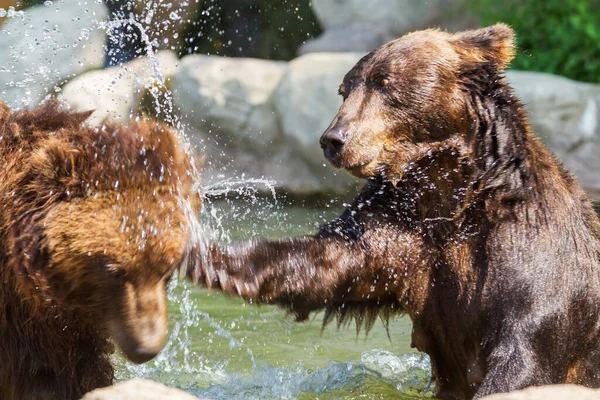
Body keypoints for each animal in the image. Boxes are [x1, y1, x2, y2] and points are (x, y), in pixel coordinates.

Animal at [188, 25, 600, 400]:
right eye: (346, 88)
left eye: (383, 82)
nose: (333, 139)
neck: (450, 194)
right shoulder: (402, 228)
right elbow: (332, 258)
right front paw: (210, 258)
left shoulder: (528, 255)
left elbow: (524, 357)